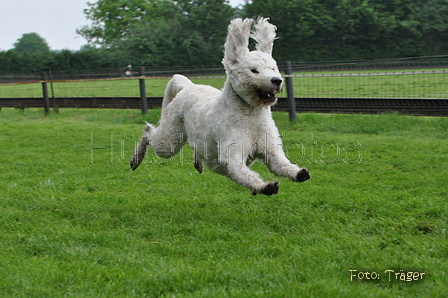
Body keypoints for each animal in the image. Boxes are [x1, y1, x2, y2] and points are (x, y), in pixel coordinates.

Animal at [131, 17, 310, 194]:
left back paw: (198, 162)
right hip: (168, 141)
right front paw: (263, 186)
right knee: (148, 132)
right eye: (254, 70)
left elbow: (281, 165)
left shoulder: (271, 150)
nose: (277, 80)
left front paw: (299, 173)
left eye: (273, 68)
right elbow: (247, 174)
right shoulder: (232, 156)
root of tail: (188, 87)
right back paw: (135, 159)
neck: (251, 115)